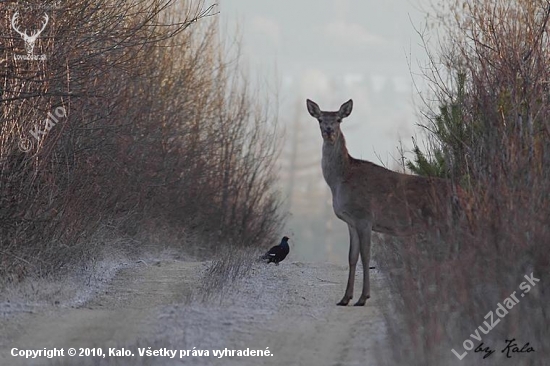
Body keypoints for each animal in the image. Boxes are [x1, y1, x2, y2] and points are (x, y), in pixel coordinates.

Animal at [308, 98, 464, 306]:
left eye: (339, 120)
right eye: (320, 119)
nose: (328, 131)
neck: (340, 181)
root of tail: (461, 193)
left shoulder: (364, 217)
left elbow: (366, 257)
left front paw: (363, 297)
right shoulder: (351, 221)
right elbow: (352, 257)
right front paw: (345, 298)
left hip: (443, 222)